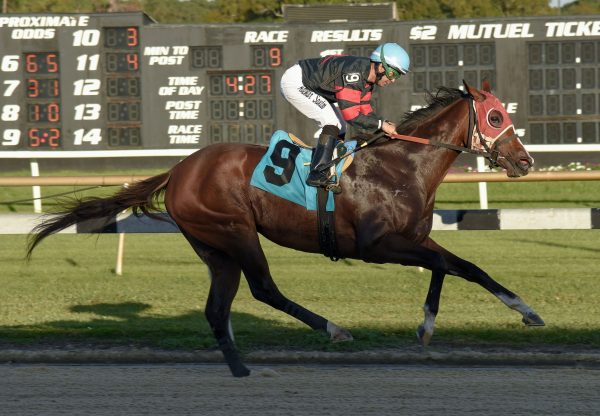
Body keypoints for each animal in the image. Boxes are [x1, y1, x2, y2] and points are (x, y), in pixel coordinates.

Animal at [28, 81, 544, 376]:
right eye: (495, 117)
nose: (525, 162)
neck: (401, 165)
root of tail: (177, 170)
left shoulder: (413, 239)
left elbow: (463, 266)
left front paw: (524, 312)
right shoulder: (377, 245)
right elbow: (444, 264)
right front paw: (429, 325)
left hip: (214, 247)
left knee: (218, 308)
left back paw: (241, 368)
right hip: (235, 232)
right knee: (263, 289)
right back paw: (333, 329)